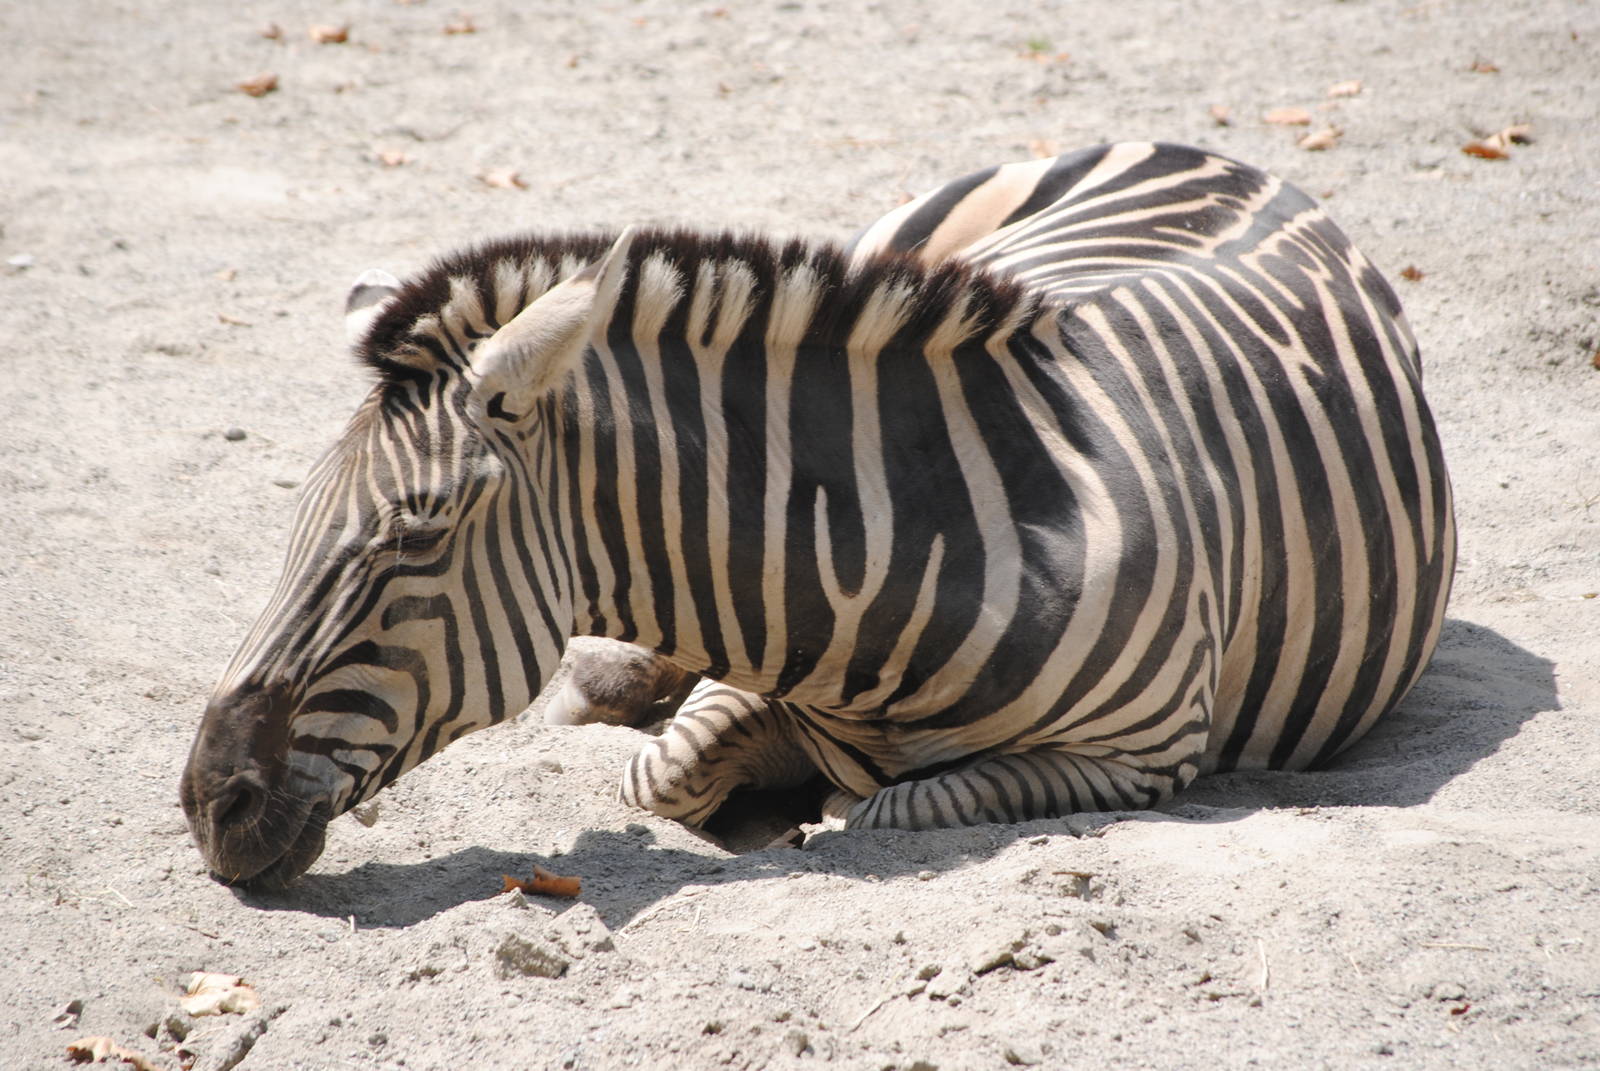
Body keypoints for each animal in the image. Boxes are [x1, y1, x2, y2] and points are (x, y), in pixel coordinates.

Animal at [180, 141, 1454, 888]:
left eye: (414, 537)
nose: (206, 805)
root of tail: (1218, 152)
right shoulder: (749, 648)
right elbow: (670, 767)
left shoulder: (1142, 759)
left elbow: (895, 807)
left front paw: (818, 806)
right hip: (904, 239)